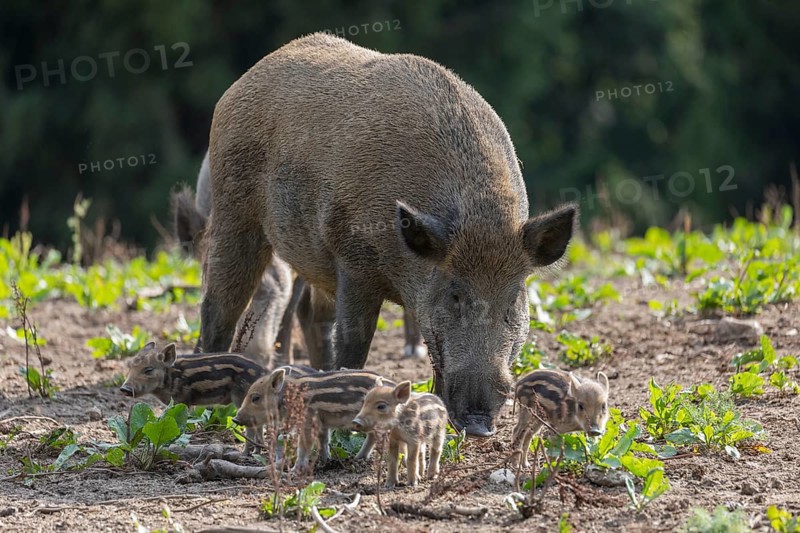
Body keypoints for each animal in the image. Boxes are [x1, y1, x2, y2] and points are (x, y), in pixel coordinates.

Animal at [200, 32, 577, 437]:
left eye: (514, 299)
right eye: (455, 295)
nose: (478, 424)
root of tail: (240, 84)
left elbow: (435, 359)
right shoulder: (353, 259)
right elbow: (355, 341)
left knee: (311, 314)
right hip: (234, 211)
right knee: (219, 306)